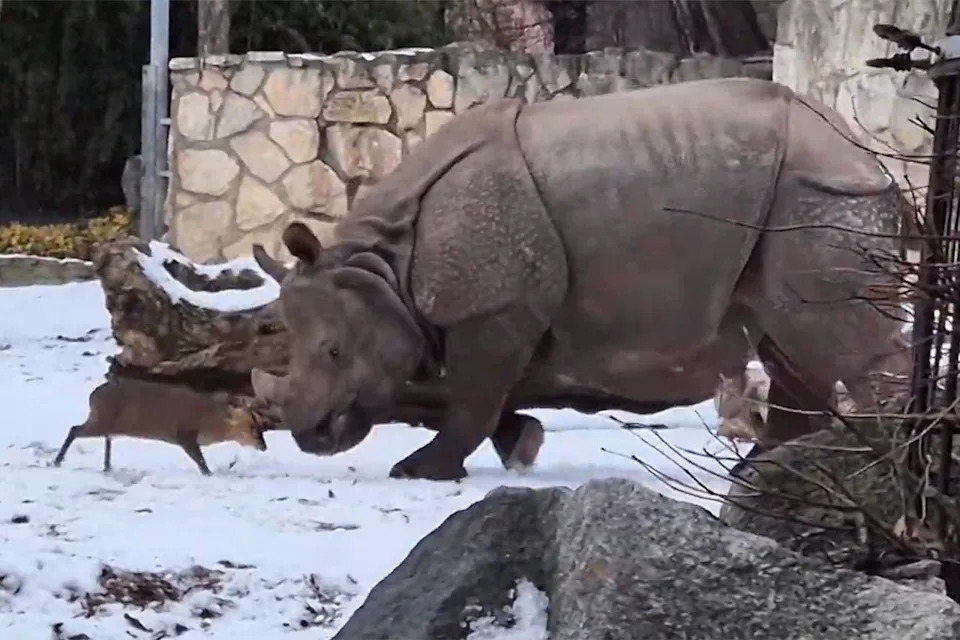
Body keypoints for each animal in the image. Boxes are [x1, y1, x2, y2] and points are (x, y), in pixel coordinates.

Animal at [251, 77, 913, 481]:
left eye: (334, 352)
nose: (309, 435)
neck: (385, 267)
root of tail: (870, 157)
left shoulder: (494, 306)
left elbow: (469, 392)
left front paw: (419, 472)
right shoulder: (498, 307)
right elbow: (467, 393)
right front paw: (521, 445)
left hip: (823, 197)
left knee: (832, 338)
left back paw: (888, 462)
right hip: (800, 201)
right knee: (791, 343)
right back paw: (762, 471)